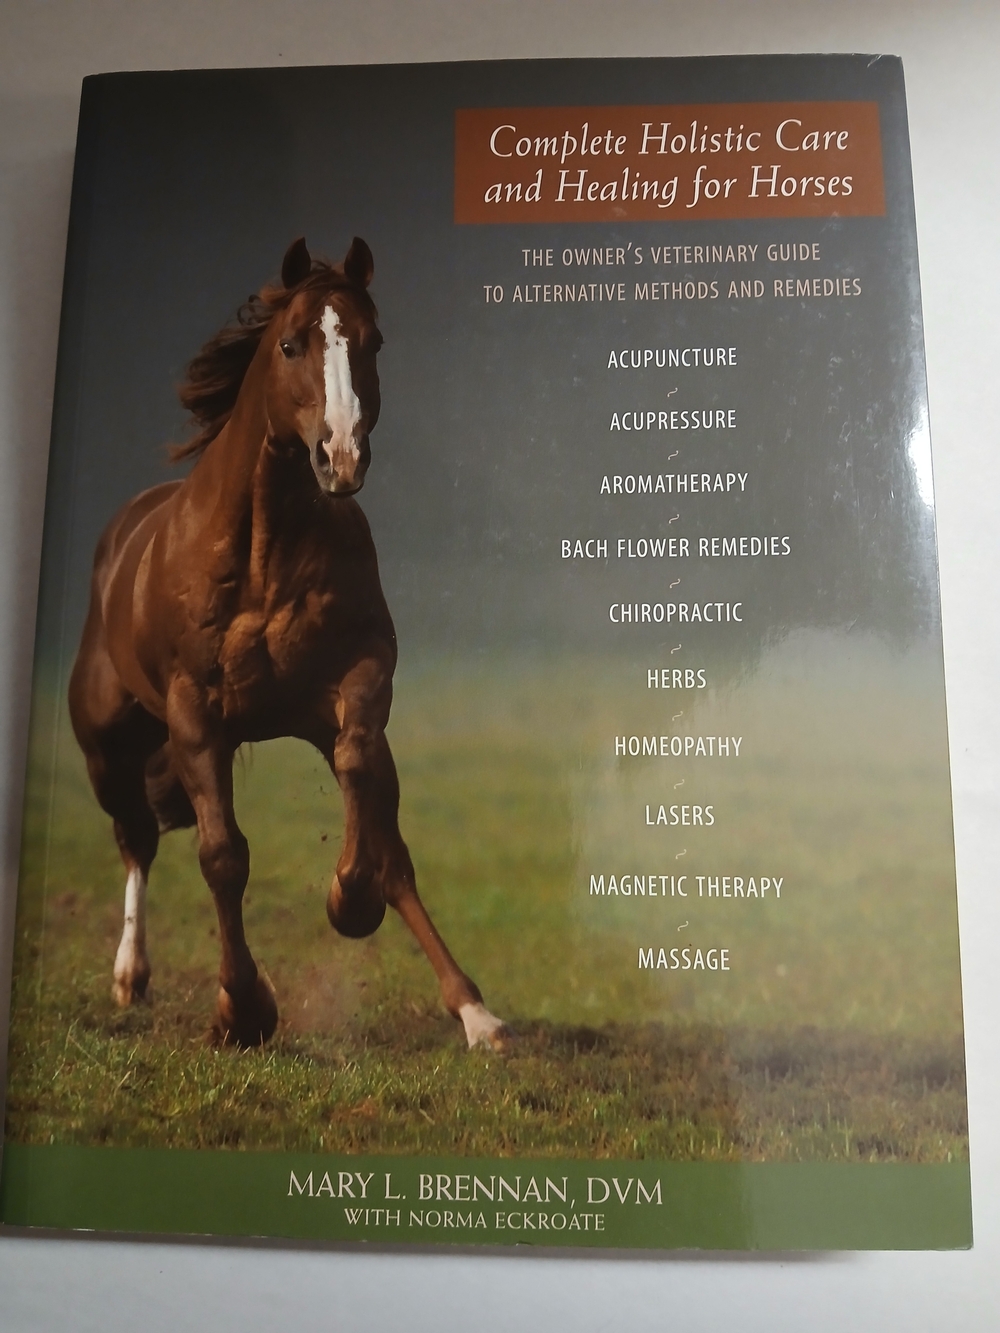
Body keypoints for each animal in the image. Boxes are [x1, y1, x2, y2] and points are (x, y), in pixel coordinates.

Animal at [68, 236, 507, 1051]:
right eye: (290, 344)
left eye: (373, 342)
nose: (341, 457)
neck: (261, 552)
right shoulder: (194, 715)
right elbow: (222, 855)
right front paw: (241, 1009)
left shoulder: (359, 677)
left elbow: (366, 789)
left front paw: (349, 900)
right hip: (108, 747)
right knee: (136, 837)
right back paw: (130, 976)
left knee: (389, 842)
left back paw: (475, 1012)